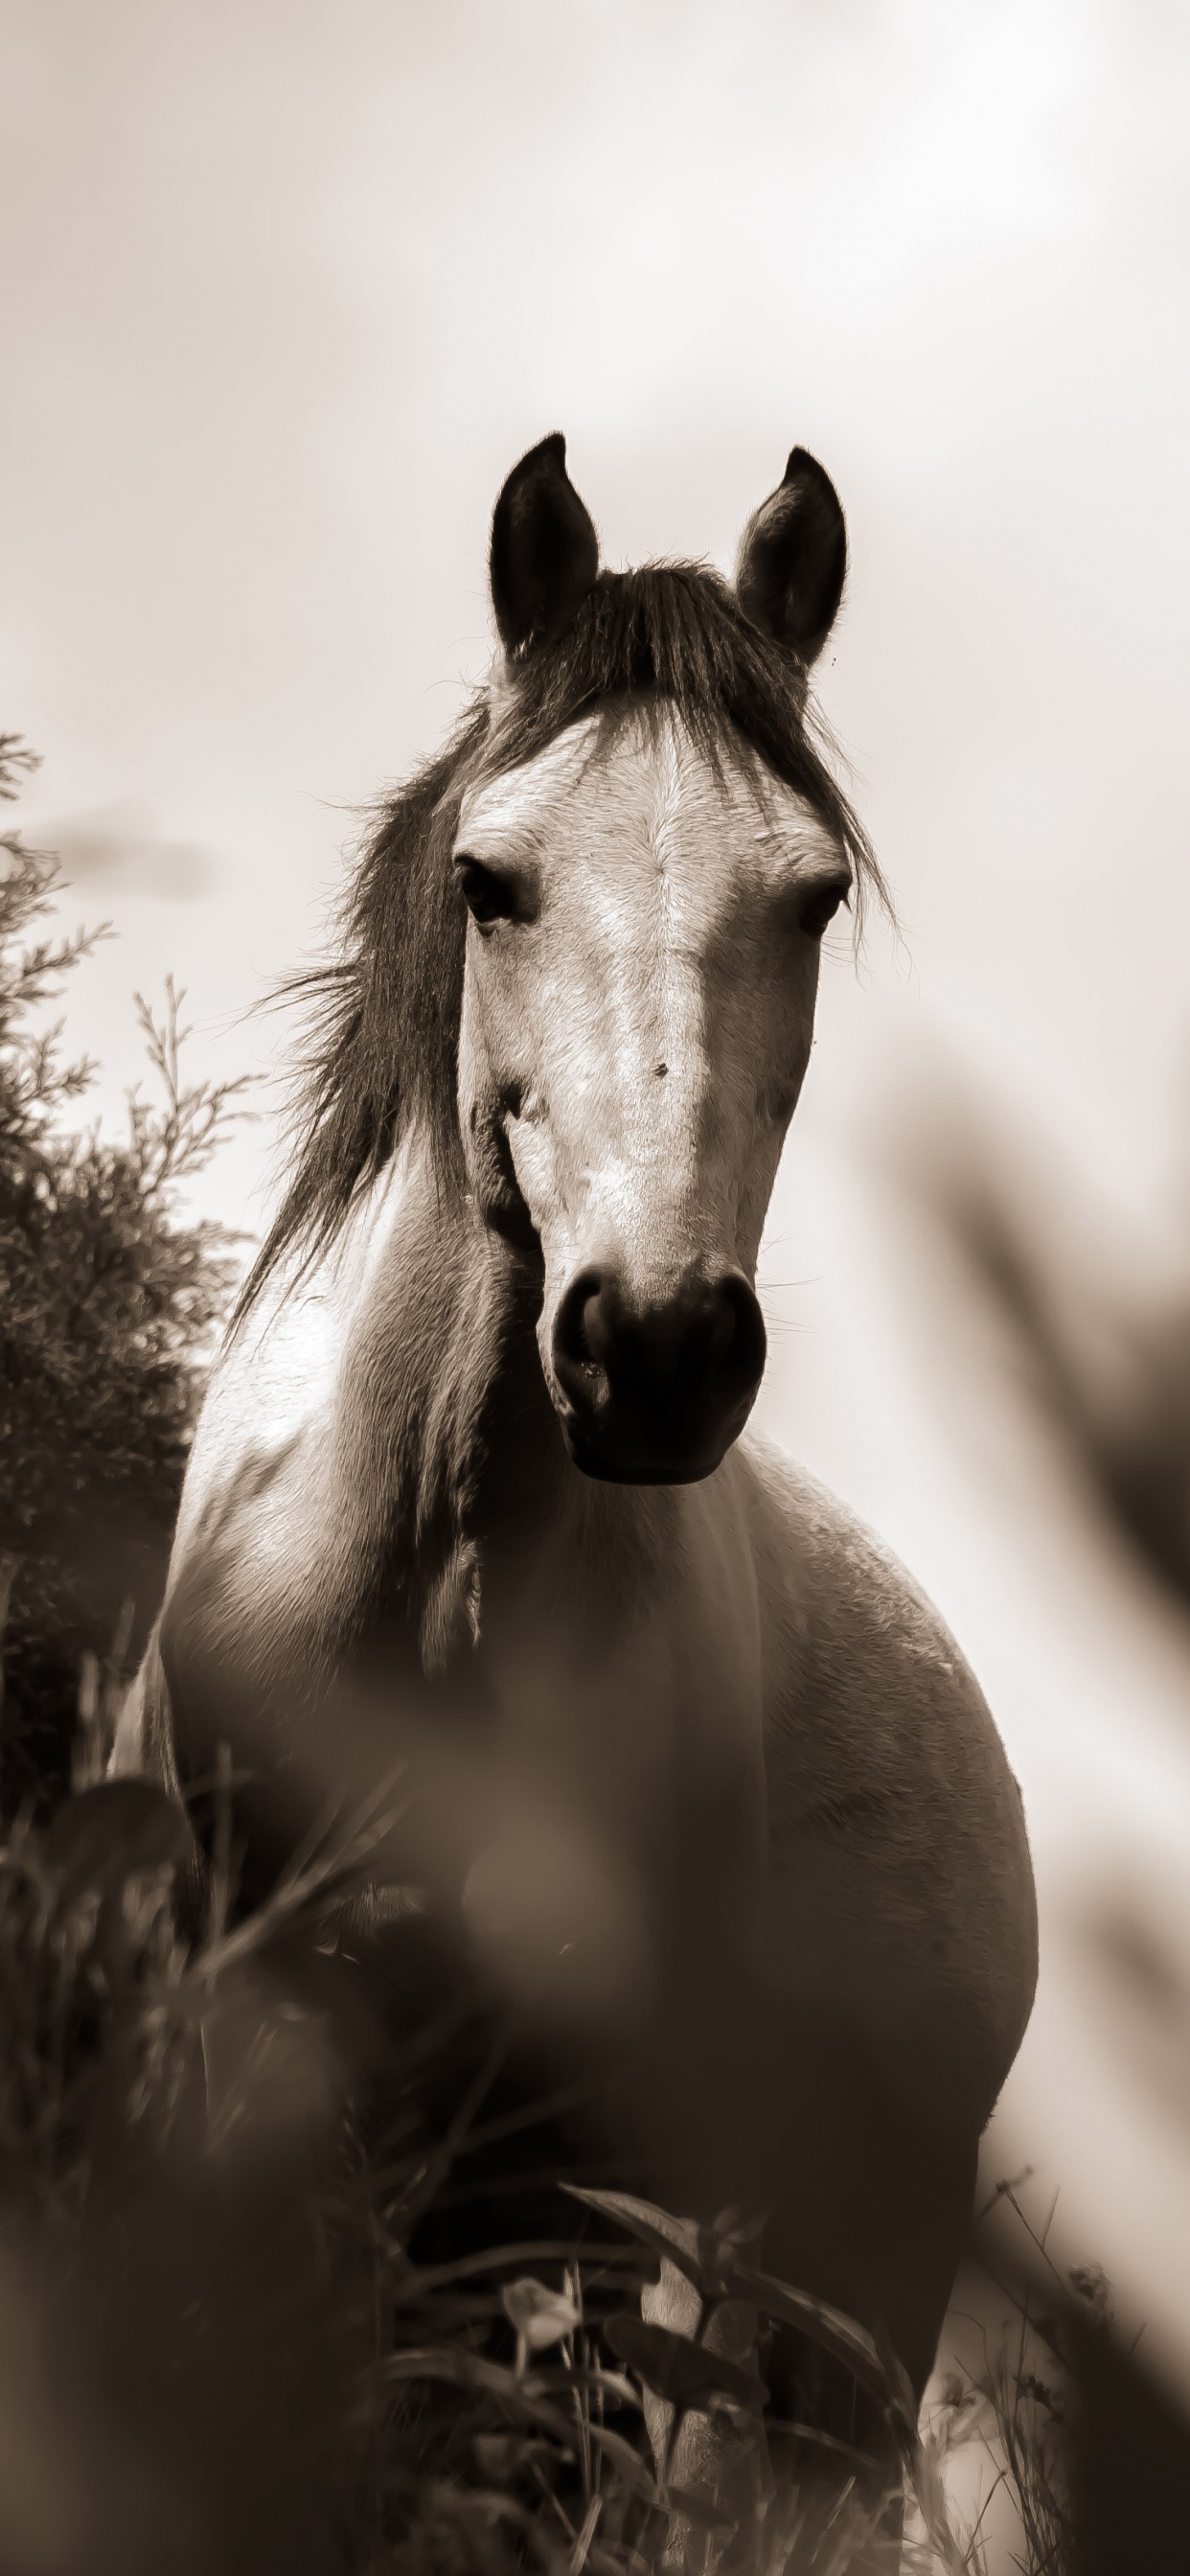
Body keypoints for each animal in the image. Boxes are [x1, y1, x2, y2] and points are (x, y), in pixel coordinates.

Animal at [113, 434, 1038, 2542]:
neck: (429, 1576)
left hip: (828, 2284)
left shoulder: (553, 2162)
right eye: (492, 882)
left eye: (809, 895)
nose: (657, 1344)